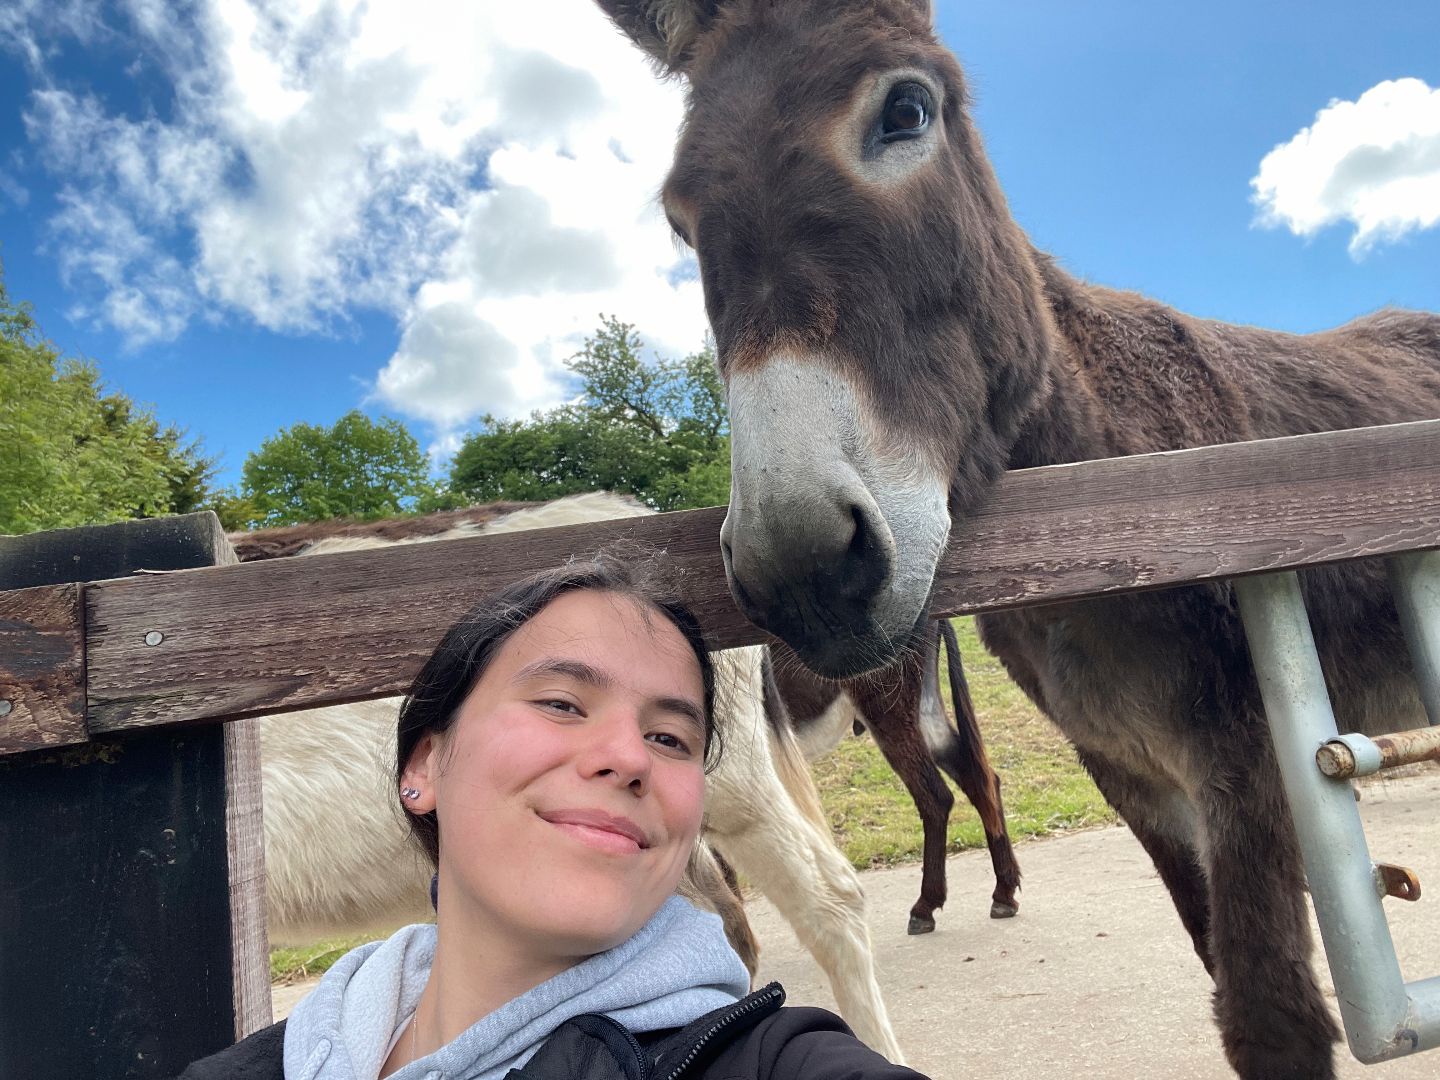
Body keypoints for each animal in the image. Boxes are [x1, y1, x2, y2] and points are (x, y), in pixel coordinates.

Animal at [599, 4, 1440, 1077]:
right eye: (679, 216)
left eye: (906, 111)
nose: (804, 575)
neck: (1105, 509)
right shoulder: (1127, 770)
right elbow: (1217, 961)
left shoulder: (1251, 756)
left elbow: (1273, 1015)